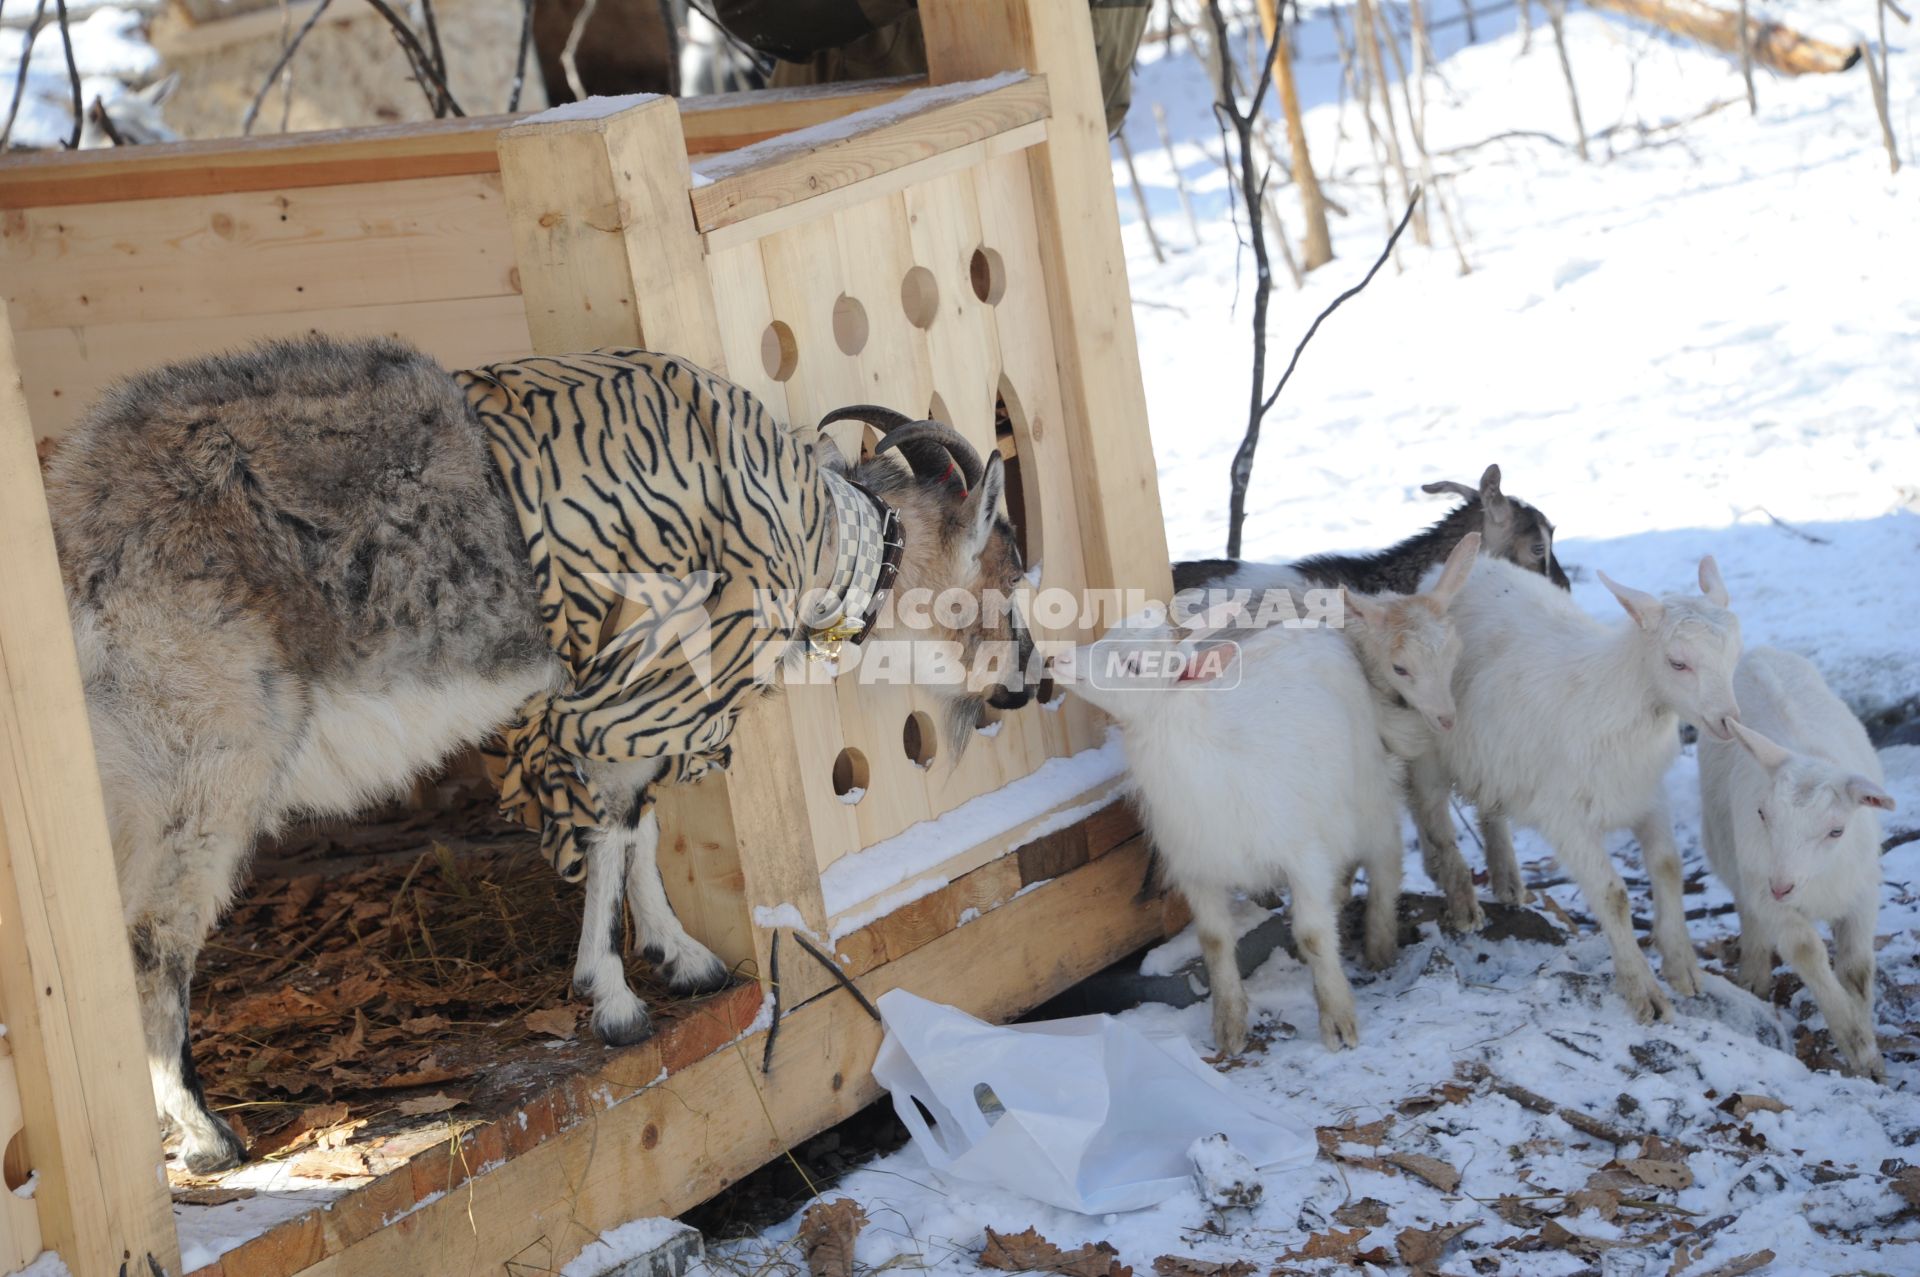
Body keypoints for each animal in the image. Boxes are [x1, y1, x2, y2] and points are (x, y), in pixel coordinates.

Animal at [45, 334, 1036, 1167]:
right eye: (1001, 577)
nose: (1031, 682)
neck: (809, 531)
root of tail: (76, 524)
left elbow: (638, 827)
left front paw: (683, 959)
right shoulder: (631, 685)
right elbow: (613, 825)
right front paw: (618, 999)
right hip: (205, 757)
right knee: (154, 935)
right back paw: (207, 1137)